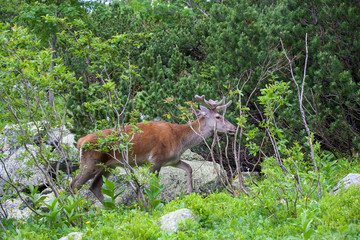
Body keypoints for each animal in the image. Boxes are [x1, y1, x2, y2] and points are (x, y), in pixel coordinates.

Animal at [69, 94, 236, 202]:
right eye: (218, 117)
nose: (233, 128)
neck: (180, 140)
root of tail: (80, 141)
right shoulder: (156, 158)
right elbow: (153, 185)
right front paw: (152, 206)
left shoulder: (173, 160)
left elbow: (189, 168)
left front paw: (190, 192)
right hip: (91, 162)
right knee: (74, 184)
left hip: (109, 165)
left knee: (94, 187)